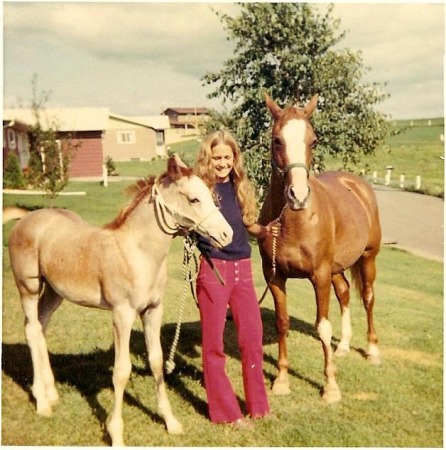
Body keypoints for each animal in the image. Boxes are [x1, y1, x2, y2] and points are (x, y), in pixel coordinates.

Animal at [8, 156, 233, 446]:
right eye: (194, 199)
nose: (227, 234)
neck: (137, 252)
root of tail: (25, 217)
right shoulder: (122, 314)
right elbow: (121, 370)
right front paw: (116, 434)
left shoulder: (153, 310)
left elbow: (157, 361)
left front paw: (171, 422)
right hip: (29, 287)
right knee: (31, 329)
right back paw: (42, 403)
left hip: (54, 292)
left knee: (41, 327)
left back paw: (51, 394)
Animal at [260, 95, 382, 404]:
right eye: (277, 140)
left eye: (313, 141)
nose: (298, 196)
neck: (295, 221)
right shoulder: (275, 277)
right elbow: (281, 322)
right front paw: (281, 381)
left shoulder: (319, 275)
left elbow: (323, 327)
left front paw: (330, 387)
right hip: (337, 269)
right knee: (345, 294)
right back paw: (345, 346)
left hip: (367, 259)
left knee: (368, 299)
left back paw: (372, 351)